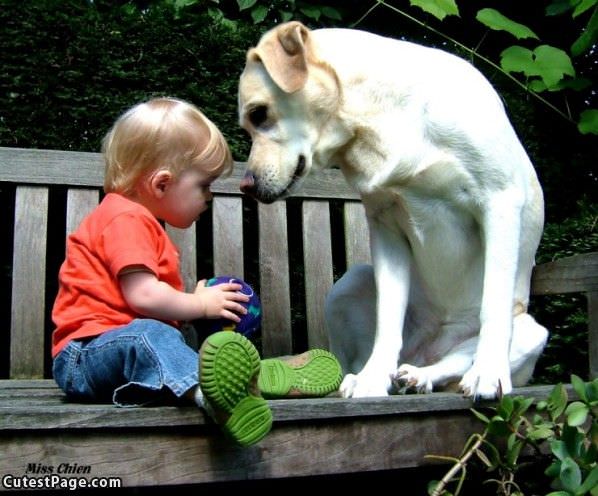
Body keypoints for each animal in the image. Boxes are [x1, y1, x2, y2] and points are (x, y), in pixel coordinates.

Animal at [239, 21, 548, 400]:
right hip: (347, 284)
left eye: (258, 114)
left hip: (530, 329)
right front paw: (373, 379)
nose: (246, 185)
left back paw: (430, 375)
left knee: (458, 359)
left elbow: (493, 305)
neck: (378, 121)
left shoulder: (499, 201)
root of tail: (427, 350)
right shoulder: (386, 227)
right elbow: (388, 319)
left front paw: (489, 373)